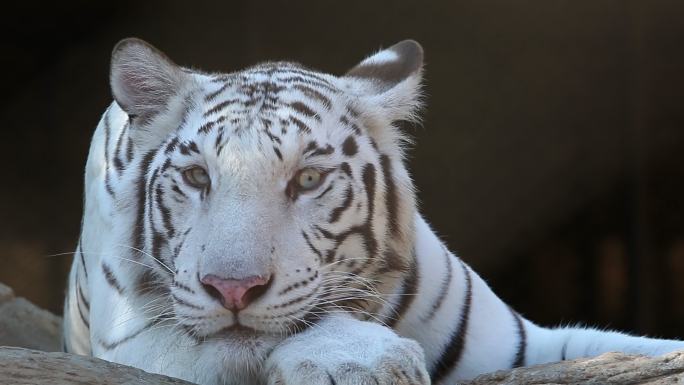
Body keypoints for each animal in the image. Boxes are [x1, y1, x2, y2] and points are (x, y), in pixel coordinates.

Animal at [64, 39, 684, 384]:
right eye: (197, 177)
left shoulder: (520, 345)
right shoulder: (130, 338)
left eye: (308, 179)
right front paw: (360, 361)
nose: (232, 289)